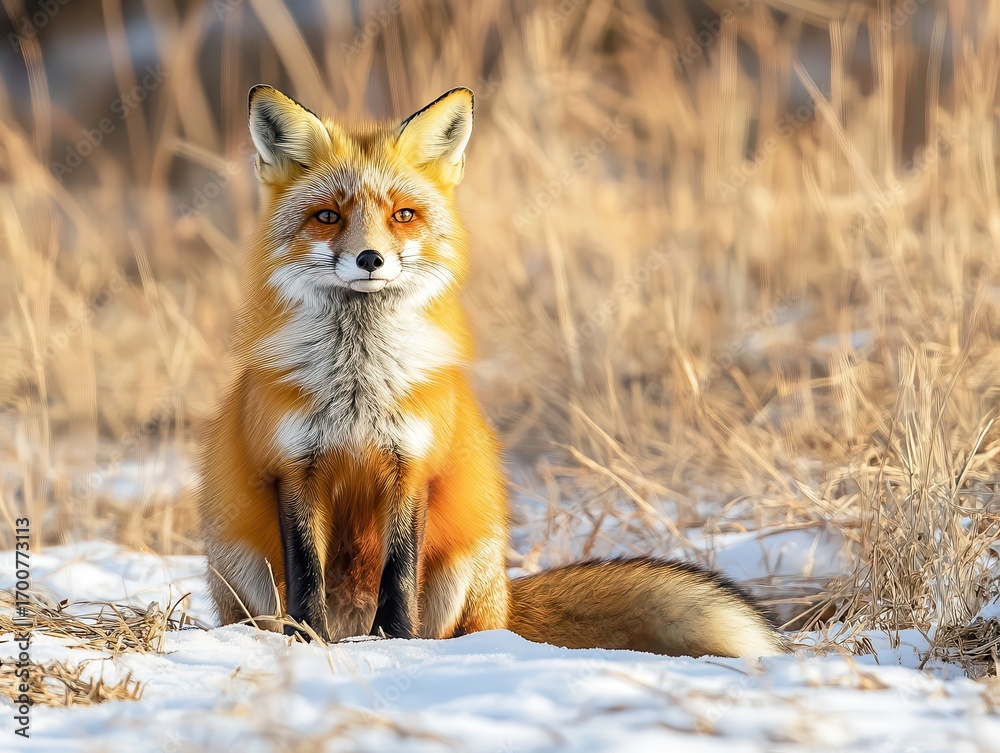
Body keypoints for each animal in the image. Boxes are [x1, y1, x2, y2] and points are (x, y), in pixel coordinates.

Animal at [197, 84, 787, 658]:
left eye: (403, 215)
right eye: (327, 216)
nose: (370, 259)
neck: (358, 384)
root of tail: (506, 599)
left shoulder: (414, 465)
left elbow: (399, 573)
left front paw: (394, 644)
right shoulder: (293, 467)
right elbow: (307, 574)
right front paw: (306, 640)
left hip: (465, 562)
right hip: (238, 562)